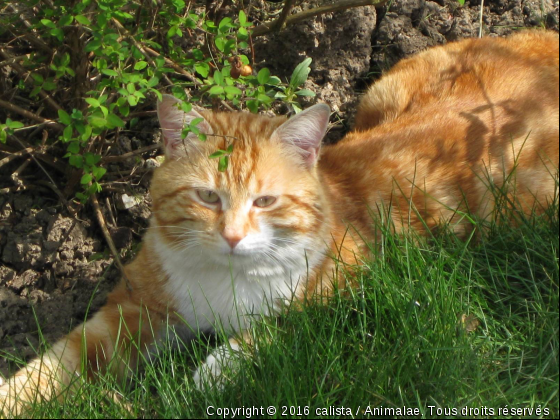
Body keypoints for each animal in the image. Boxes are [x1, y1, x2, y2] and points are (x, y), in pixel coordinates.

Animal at [2, 31, 556, 416]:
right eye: (208, 196)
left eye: (265, 201)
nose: (232, 236)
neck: (226, 282)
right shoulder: (136, 308)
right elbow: (62, 360)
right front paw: (17, 396)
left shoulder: (357, 285)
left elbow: (270, 329)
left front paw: (202, 380)